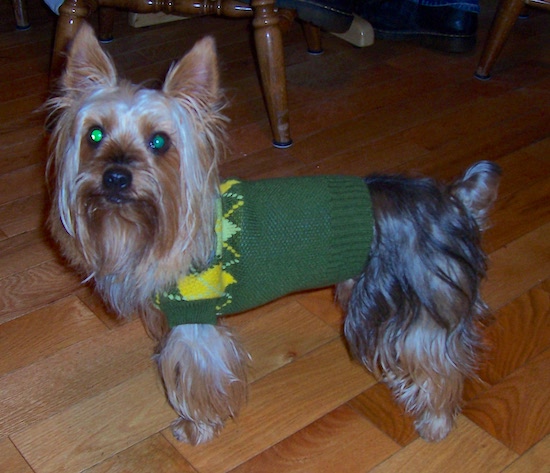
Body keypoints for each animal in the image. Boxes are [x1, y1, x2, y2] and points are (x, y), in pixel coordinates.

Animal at [48, 21, 504, 442]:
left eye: (159, 142)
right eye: (94, 135)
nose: (116, 177)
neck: (150, 227)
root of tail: (453, 199)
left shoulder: (195, 320)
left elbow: (197, 381)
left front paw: (195, 428)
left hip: (422, 302)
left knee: (441, 364)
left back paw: (435, 421)